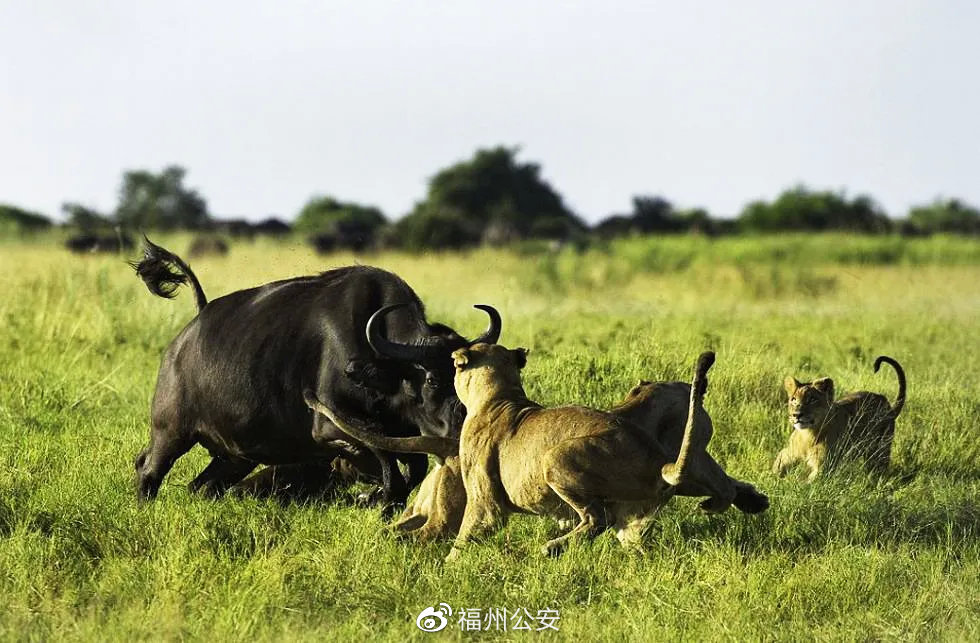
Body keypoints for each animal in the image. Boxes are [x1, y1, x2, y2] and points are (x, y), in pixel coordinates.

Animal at [132, 239, 498, 506]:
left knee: (202, 486)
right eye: (433, 380)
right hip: (171, 432)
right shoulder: (331, 426)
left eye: (467, 380)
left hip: (235, 456)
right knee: (148, 468)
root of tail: (190, 330)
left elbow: (411, 470)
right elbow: (386, 465)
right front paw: (374, 495)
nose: (460, 425)